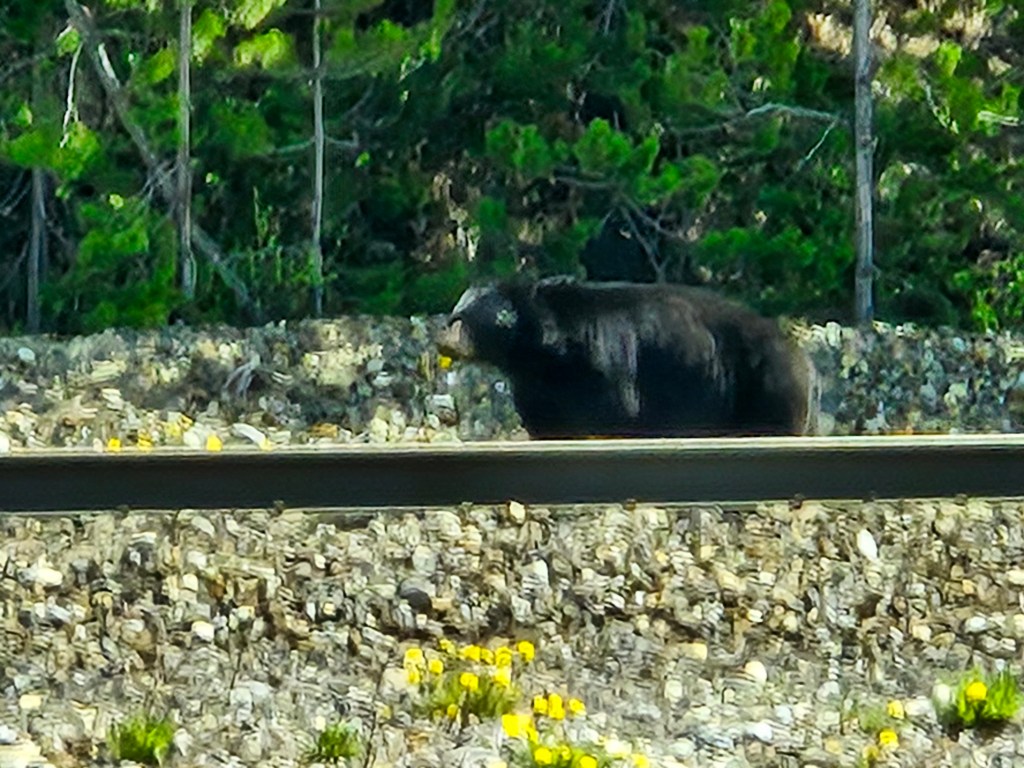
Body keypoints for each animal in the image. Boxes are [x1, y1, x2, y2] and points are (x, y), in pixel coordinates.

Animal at [436, 277, 818, 439]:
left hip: (766, 385)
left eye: (465, 319)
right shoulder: (535, 384)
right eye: (456, 311)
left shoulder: (602, 361)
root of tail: (804, 361)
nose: (443, 337)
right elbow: (544, 419)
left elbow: (616, 407)